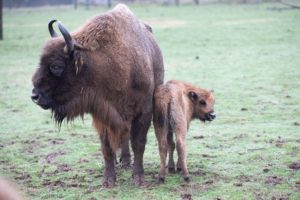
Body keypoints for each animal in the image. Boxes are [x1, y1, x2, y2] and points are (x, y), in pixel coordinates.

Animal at [30, 3, 164, 187]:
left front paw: (138, 178)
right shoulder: (103, 113)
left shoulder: (144, 111)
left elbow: (138, 143)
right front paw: (108, 180)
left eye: (56, 66)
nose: (35, 96)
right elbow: (106, 147)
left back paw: (126, 161)